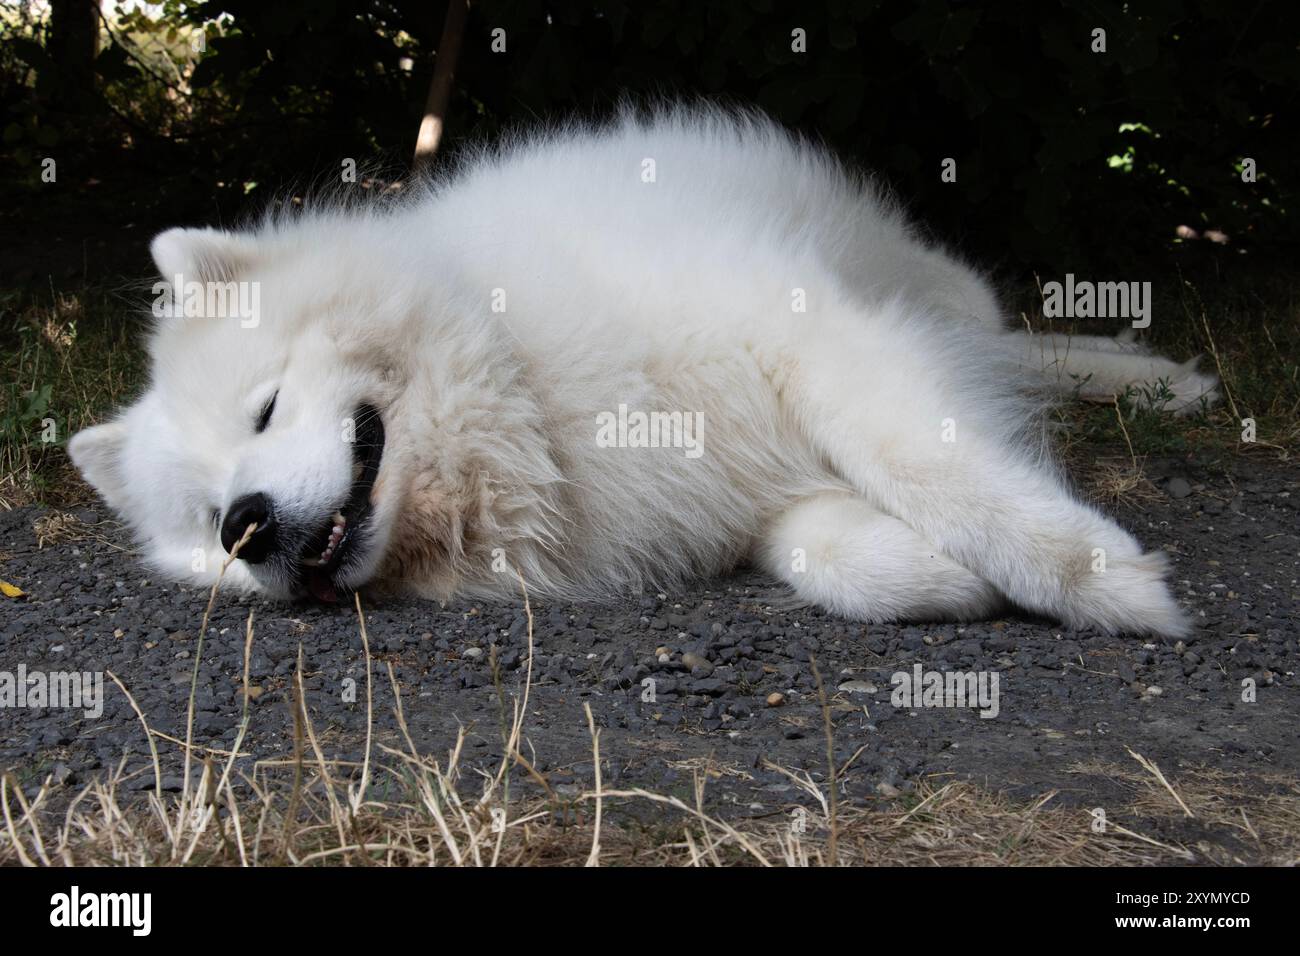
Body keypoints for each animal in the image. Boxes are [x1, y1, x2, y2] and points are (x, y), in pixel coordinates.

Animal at [68, 106, 1216, 634]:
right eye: (206, 523)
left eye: (264, 409)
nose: (246, 523)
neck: (520, 384)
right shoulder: (725, 488)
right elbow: (840, 557)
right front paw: (942, 577)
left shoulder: (814, 341)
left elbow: (935, 468)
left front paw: (1098, 581)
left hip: (920, 287)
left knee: (996, 333)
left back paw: (1152, 376)